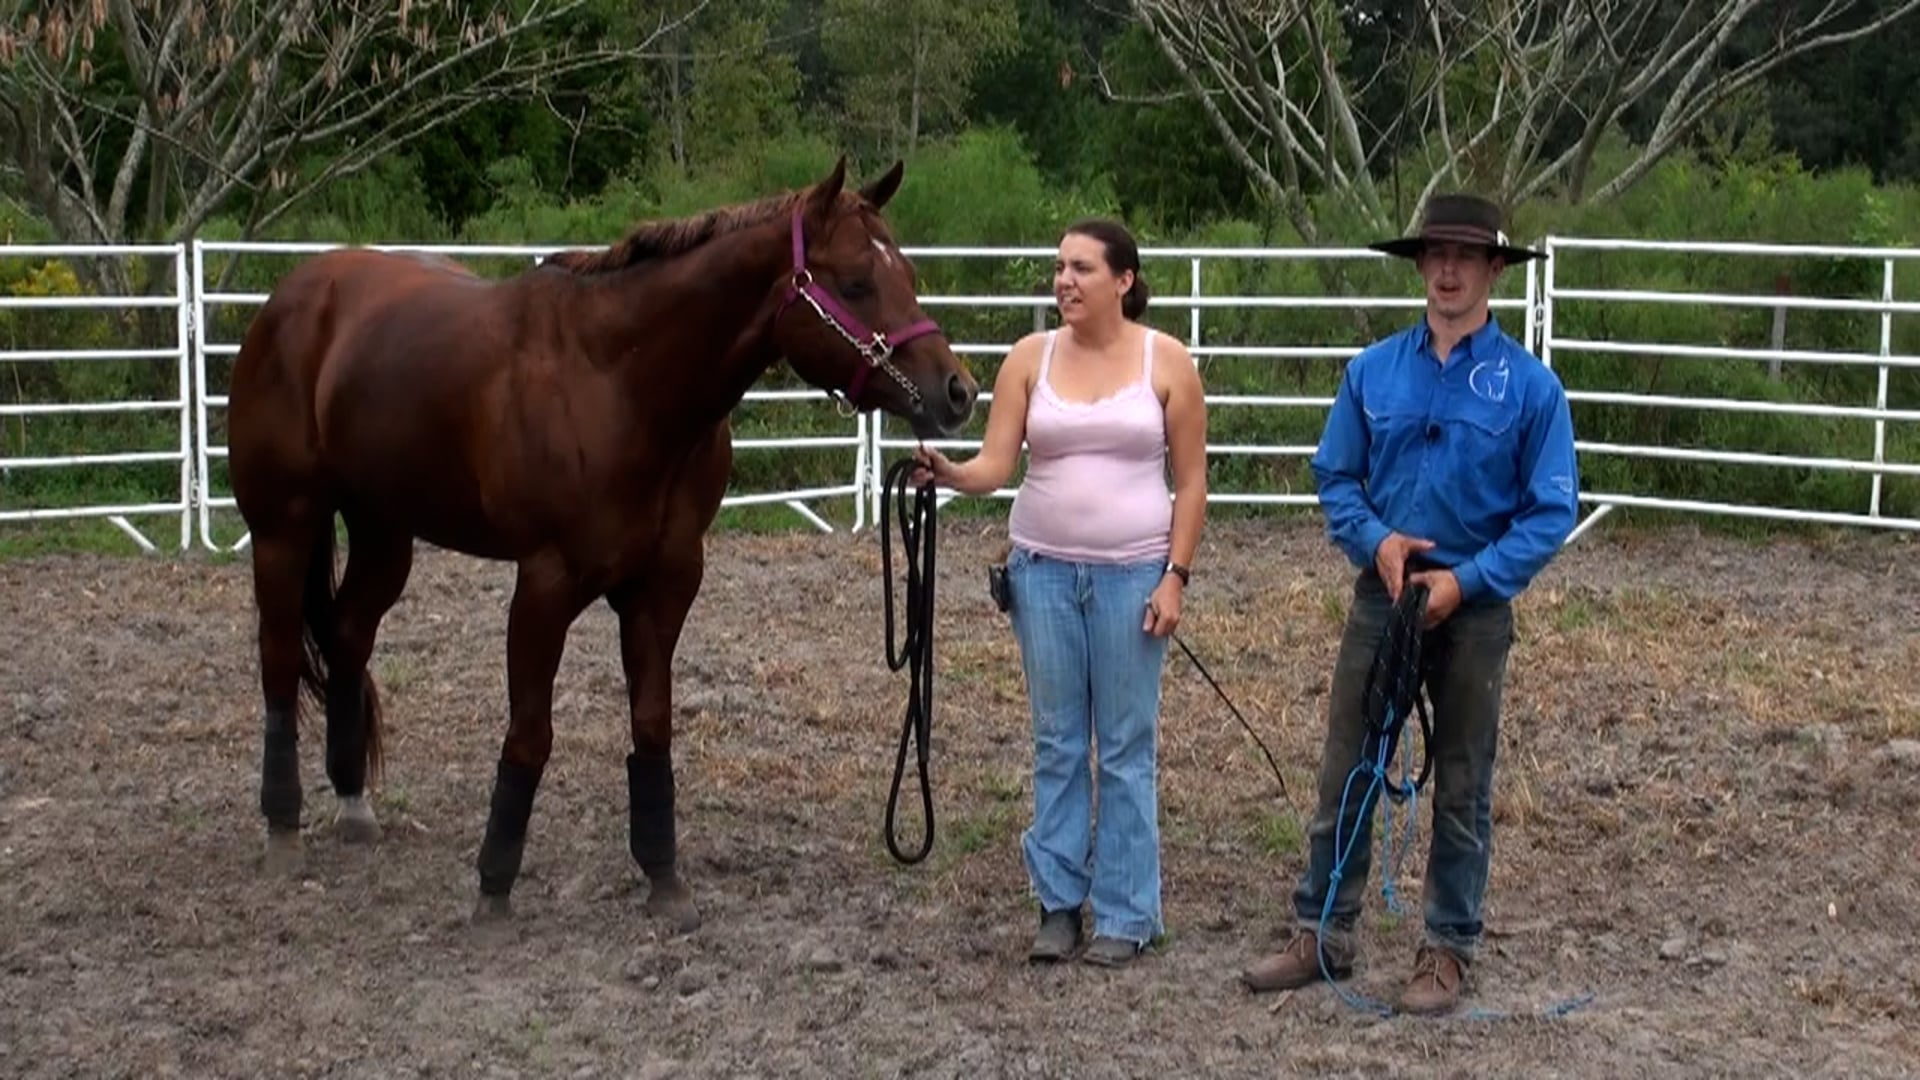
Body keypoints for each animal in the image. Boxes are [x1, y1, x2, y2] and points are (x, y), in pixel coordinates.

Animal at [226, 157, 978, 930]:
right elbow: (531, 734)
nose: (958, 392)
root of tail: (290, 297)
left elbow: (651, 723)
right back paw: (282, 828)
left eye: (908, 273)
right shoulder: (545, 583)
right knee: (279, 661)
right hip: (284, 527)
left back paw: (353, 803)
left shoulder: (666, 582)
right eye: (856, 282)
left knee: (347, 635)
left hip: (384, 532)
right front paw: (495, 883)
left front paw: (664, 877)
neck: (620, 383)